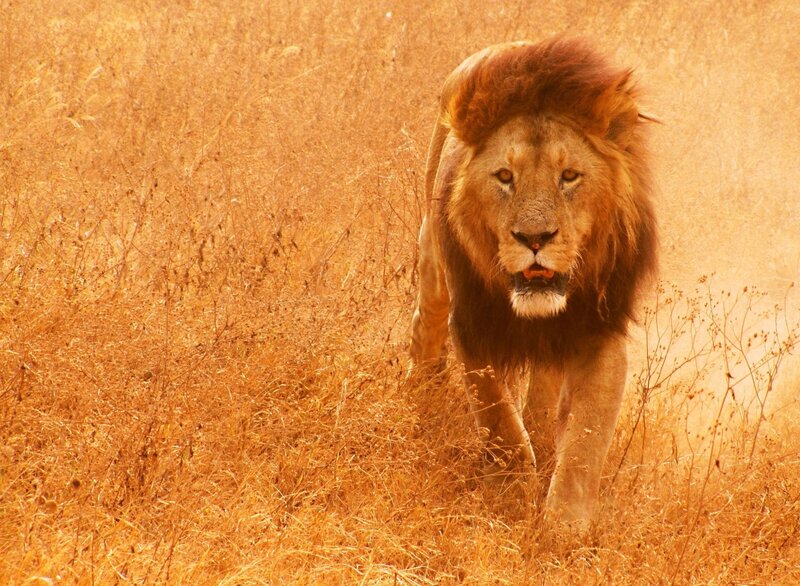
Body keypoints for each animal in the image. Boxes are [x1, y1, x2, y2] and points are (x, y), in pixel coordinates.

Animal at [408, 38, 657, 528]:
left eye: (569, 176)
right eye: (505, 177)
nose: (535, 238)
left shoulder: (600, 332)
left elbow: (585, 441)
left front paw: (563, 529)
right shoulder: (472, 326)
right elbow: (500, 420)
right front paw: (509, 496)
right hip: (433, 257)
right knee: (426, 317)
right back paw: (418, 389)